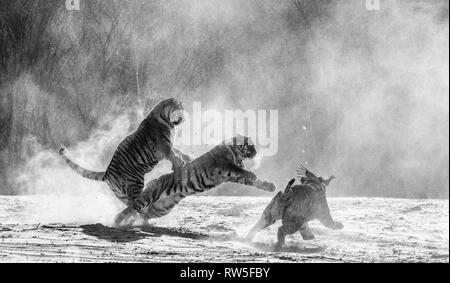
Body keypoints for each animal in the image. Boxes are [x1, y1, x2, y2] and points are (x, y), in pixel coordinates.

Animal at [58, 98, 192, 210]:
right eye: (180, 107)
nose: (185, 112)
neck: (167, 120)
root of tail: (107, 173)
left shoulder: (168, 145)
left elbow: (178, 151)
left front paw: (187, 157)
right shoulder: (164, 146)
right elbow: (173, 155)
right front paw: (179, 163)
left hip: (122, 195)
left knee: (131, 206)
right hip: (135, 183)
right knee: (137, 204)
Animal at [114, 136, 276, 227]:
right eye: (249, 146)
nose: (256, 152)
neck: (238, 155)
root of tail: (154, 180)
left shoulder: (233, 176)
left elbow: (255, 181)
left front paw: (269, 186)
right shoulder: (226, 166)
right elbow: (244, 172)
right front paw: (253, 175)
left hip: (163, 207)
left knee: (144, 214)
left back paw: (140, 224)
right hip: (150, 196)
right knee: (132, 207)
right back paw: (117, 221)